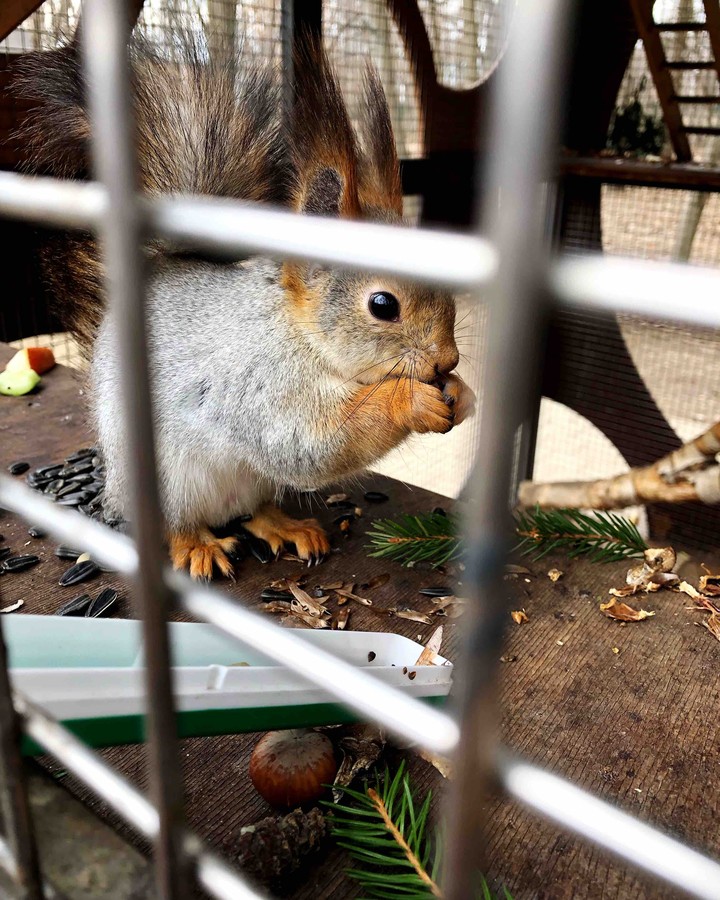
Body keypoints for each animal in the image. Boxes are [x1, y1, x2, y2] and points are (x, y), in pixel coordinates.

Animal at [15, 32, 475, 579]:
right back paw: (196, 545)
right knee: (177, 523)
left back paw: (285, 526)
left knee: (252, 510)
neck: (300, 333)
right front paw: (411, 401)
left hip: (252, 483)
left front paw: (463, 392)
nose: (446, 360)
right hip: (164, 482)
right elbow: (311, 443)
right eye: (383, 304)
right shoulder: (258, 382)